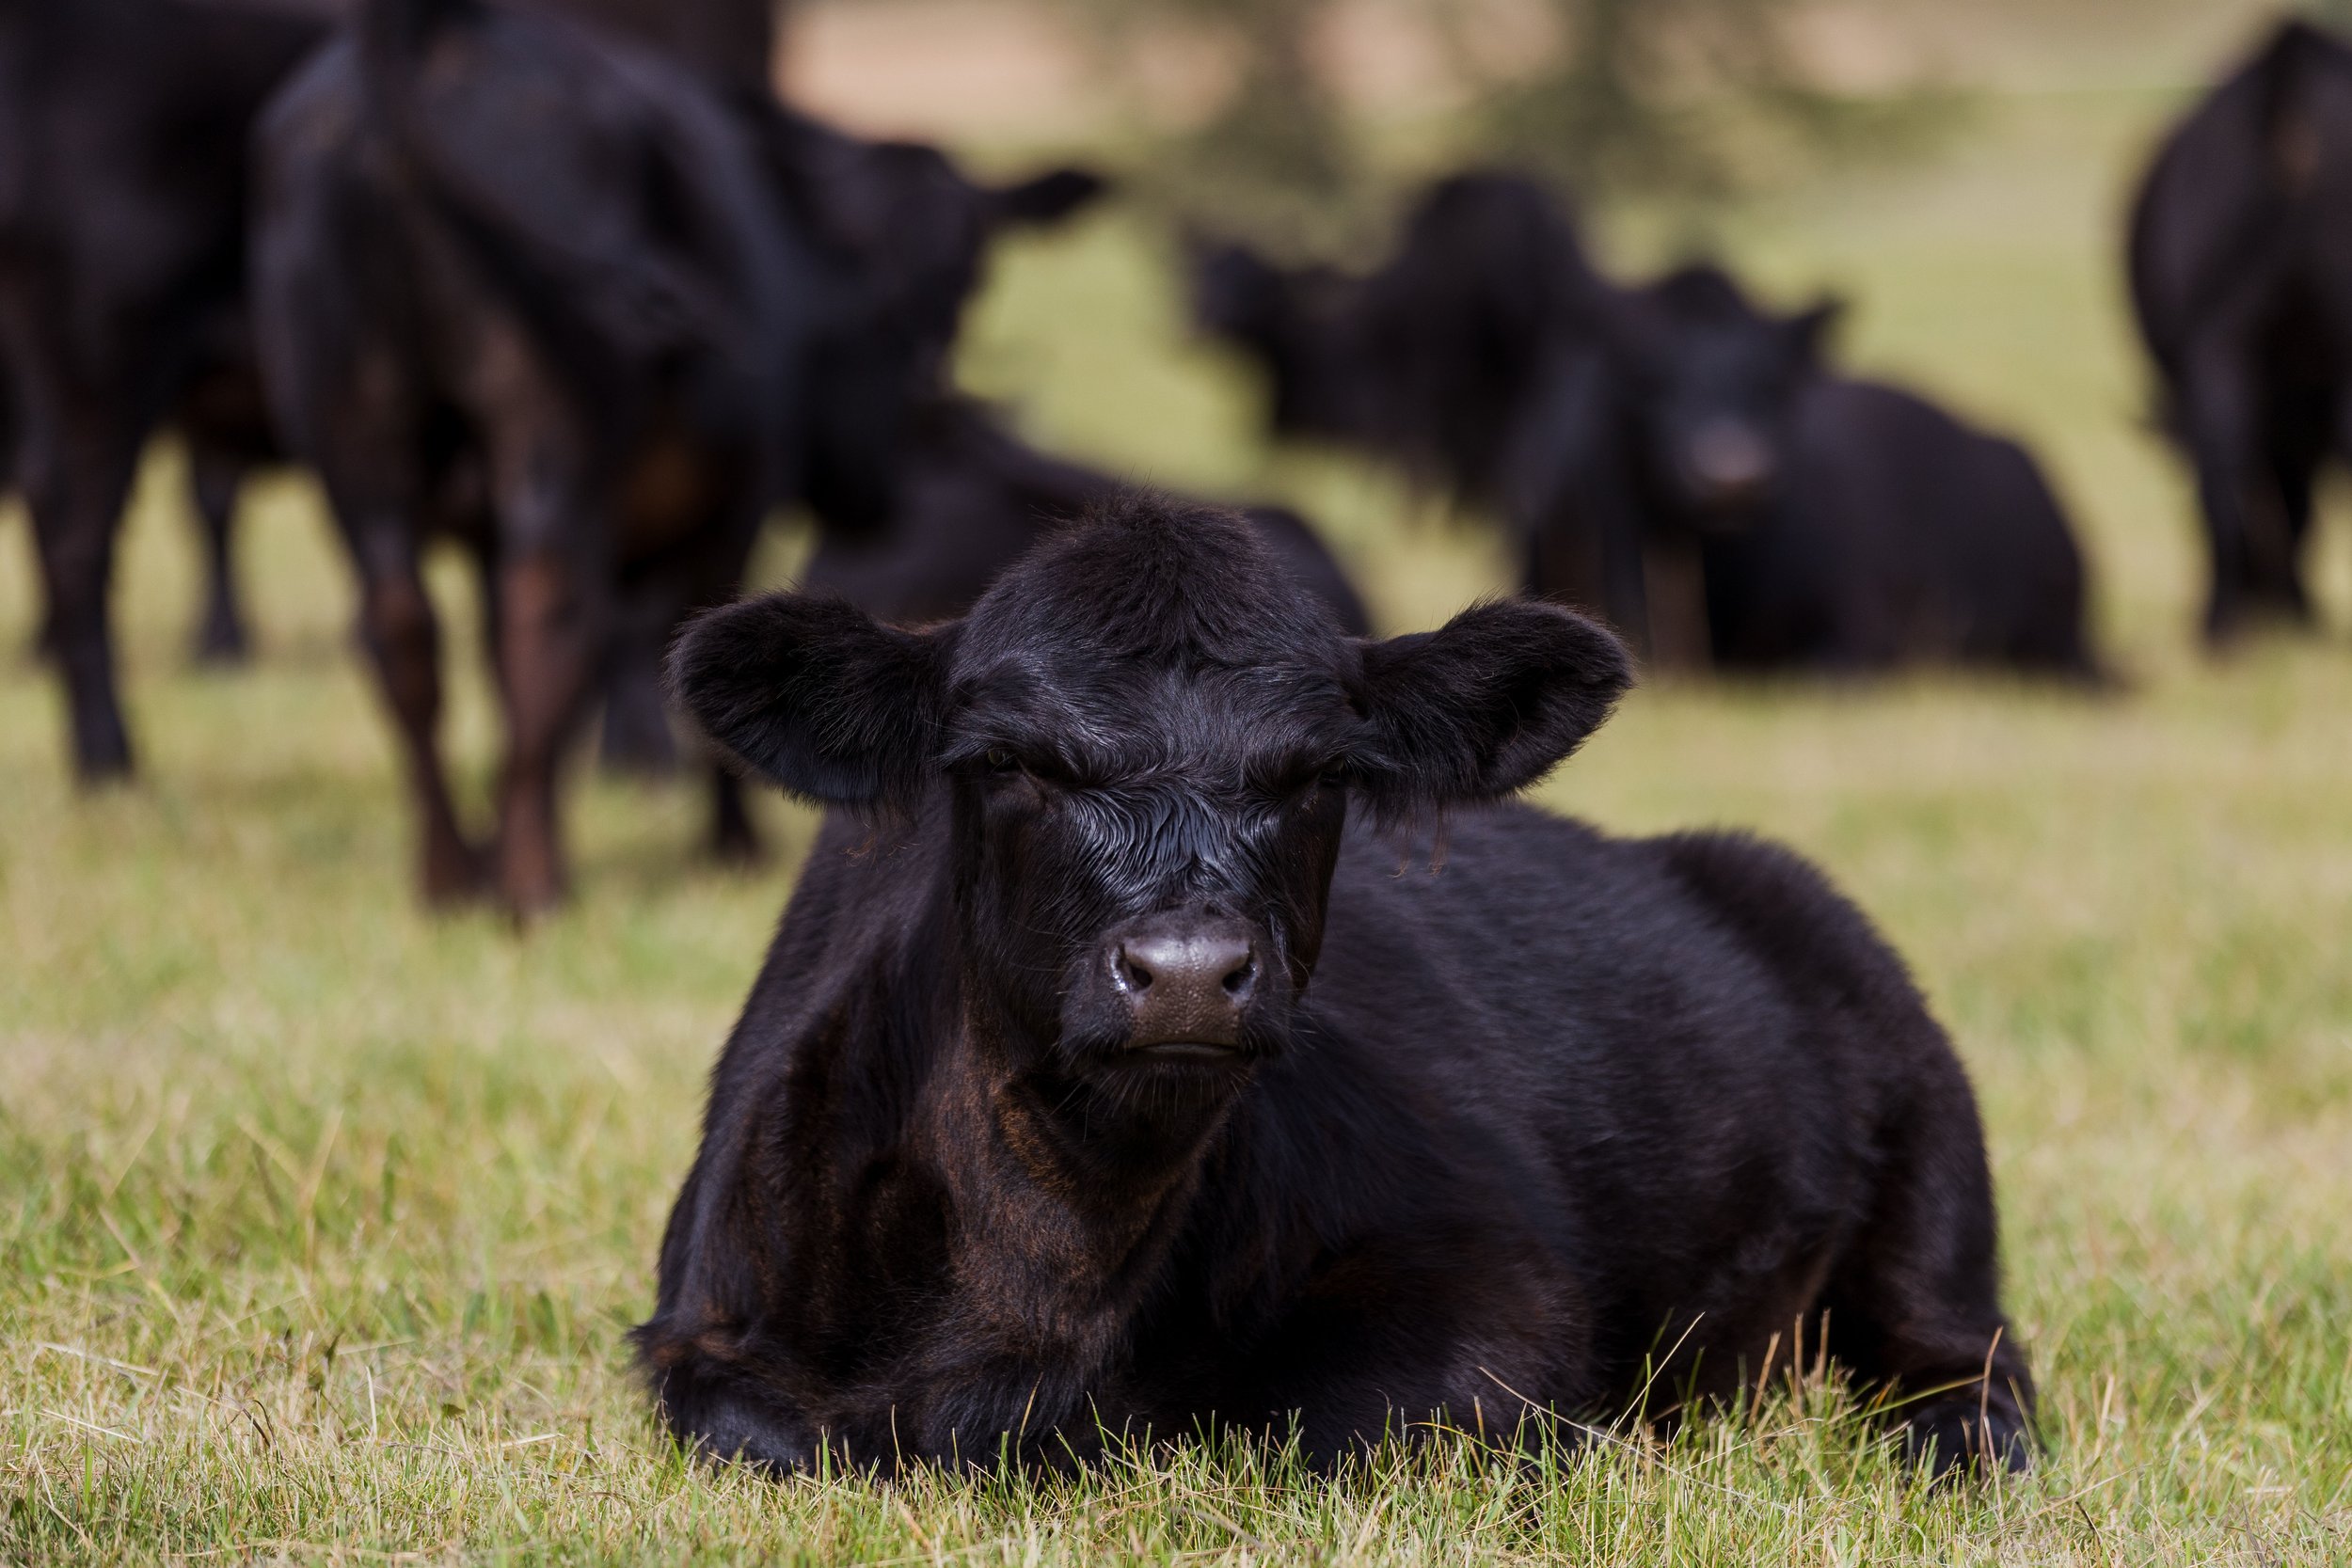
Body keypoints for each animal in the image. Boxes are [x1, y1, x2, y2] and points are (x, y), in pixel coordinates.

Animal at [636, 494, 2036, 1479]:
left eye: (1316, 771)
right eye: (1010, 761)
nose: (1186, 973)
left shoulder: (1496, 1285)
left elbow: (1326, 1423)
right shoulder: (701, 1334)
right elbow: (770, 1431)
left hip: (1930, 1163)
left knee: (1964, 1362)